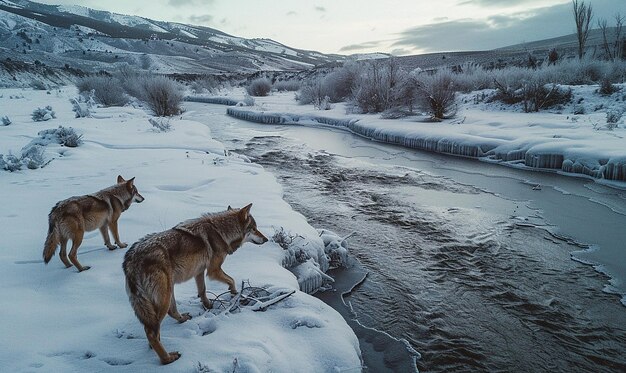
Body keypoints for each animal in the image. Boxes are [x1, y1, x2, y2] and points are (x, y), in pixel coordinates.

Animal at [122, 203, 268, 364]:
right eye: (254, 228)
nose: (266, 239)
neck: (221, 231)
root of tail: (130, 260)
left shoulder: (199, 271)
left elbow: (202, 290)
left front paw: (208, 305)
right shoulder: (213, 270)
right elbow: (232, 279)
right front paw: (234, 292)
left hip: (168, 291)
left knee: (169, 314)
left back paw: (181, 320)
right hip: (164, 296)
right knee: (151, 332)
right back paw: (167, 358)